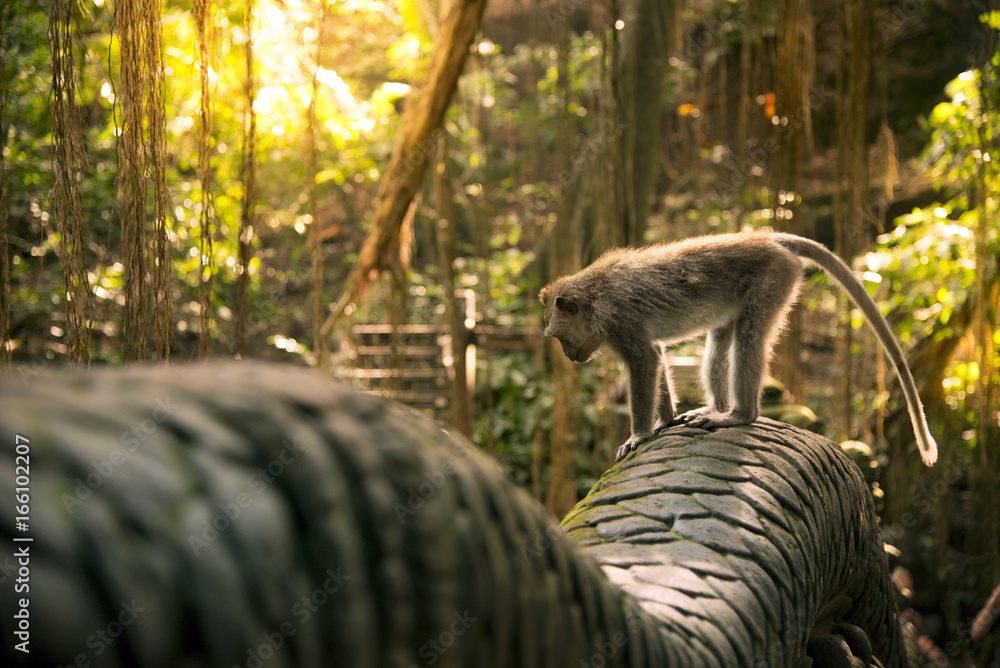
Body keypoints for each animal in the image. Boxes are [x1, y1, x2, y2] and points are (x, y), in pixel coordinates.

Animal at [540, 232, 936, 468]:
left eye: (559, 337)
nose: (567, 355)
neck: (594, 295)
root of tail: (767, 237)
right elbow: (657, 355)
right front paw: (665, 420)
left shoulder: (621, 321)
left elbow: (645, 362)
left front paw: (639, 435)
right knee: (720, 340)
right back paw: (717, 408)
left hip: (774, 277)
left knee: (748, 338)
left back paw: (739, 414)